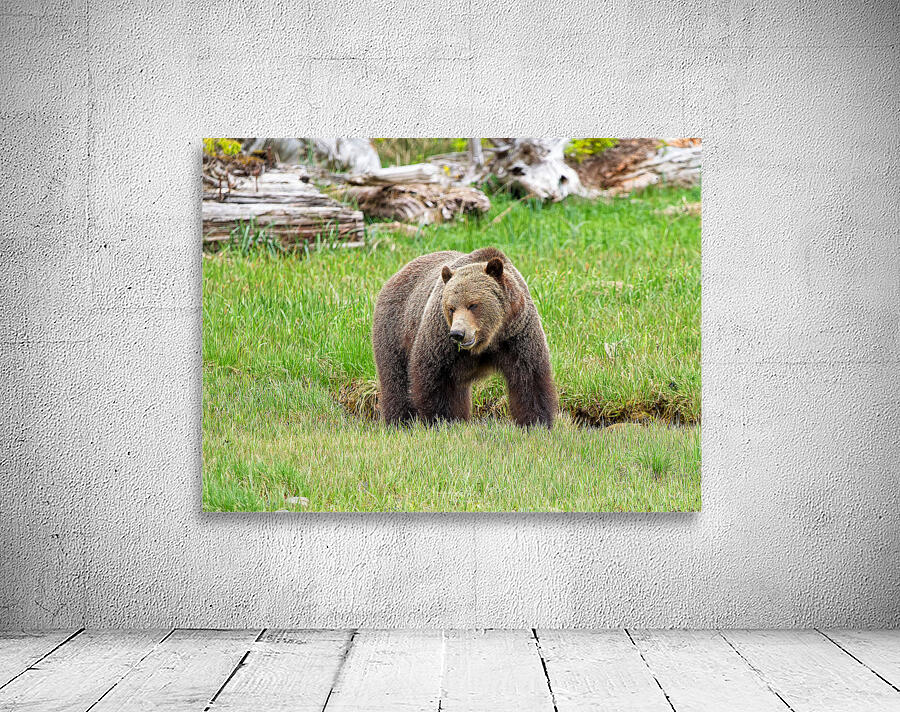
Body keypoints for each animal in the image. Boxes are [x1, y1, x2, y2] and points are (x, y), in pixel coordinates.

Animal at [372, 247, 558, 428]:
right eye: (451, 308)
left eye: (473, 305)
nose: (458, 334)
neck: (490, 339)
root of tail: (396, 274)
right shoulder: (441, 340)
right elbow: (434, 377)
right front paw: (442, 420)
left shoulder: (517, 335)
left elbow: (529, 378)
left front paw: (537, 422)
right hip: (395, 329)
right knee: (396, 379)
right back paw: (399, 421)